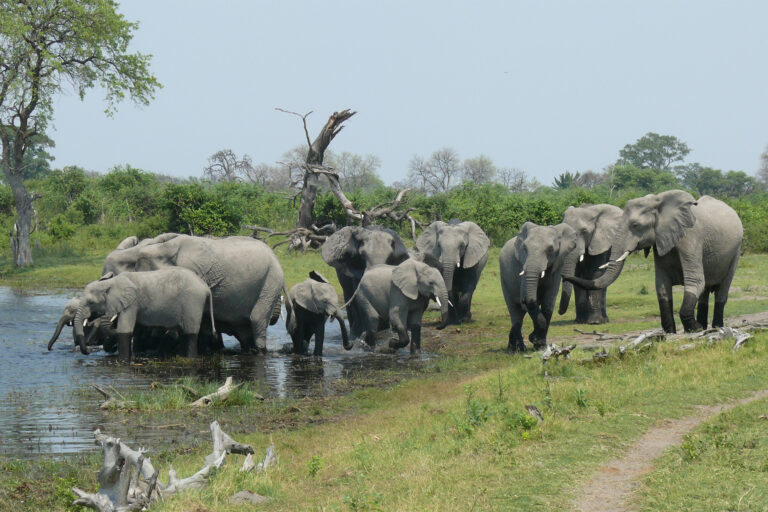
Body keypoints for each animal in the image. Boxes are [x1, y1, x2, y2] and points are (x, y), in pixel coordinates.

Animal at [71, 268, 216, 360]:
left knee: (190, 334)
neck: (111, 283)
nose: (88, 351)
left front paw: (123, 361)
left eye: (91, 302)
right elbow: (136, 329)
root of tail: (206, 287)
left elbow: (125, 331)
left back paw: (190, 358)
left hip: (193, 302)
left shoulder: (131, 303)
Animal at [498, 222, 584, 350]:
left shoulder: (556, 267)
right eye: (524, 248)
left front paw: (540, 345)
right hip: (504, 278)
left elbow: (548, 303)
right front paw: (535, 340)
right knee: (515, 312)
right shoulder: (522, 265)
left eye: (551, 249)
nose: (531, 337)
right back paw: (516, 350)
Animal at [564, 190, 744, 334]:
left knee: (722, 289)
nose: (564, 277)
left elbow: (695, 281)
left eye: (636, 225)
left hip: (736, 251)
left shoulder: (691, 238)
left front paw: (694, 329)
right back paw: (706, 327)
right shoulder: (660, 241)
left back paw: (716, 327)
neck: (658, 202)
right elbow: (662, 285)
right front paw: (671, 331)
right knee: (706, 291)